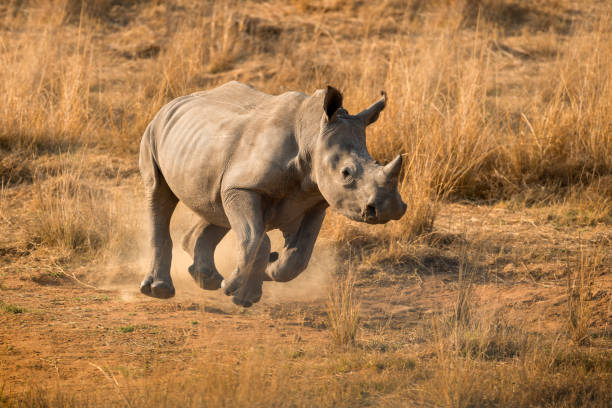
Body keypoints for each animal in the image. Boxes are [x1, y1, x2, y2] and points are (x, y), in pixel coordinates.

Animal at [139, 81, 406, 306]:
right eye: (346, 173)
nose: (390, 208)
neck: (312, 135)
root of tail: (172, 102)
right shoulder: (243, 187)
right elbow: (255, 238)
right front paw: (235, 288)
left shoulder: (317, 200)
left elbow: (296, 258)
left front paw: (260, 278)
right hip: (154, 132)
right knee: (158, 193)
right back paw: (161, 290)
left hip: (204, 148)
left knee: (216, 205)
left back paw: (207, 278)